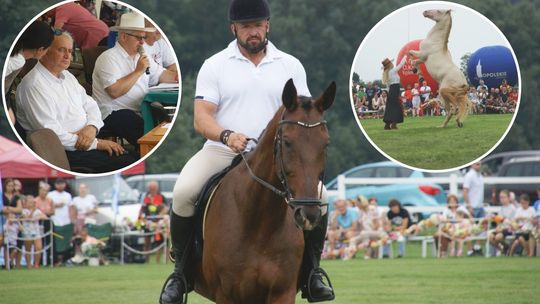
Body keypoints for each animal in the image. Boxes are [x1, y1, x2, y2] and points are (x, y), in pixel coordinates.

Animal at [194, 79, 336, 302]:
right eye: (287, 142)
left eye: (325, 144)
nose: (308, 215)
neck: (259, 221)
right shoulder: (226, 295)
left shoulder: (282, 292)